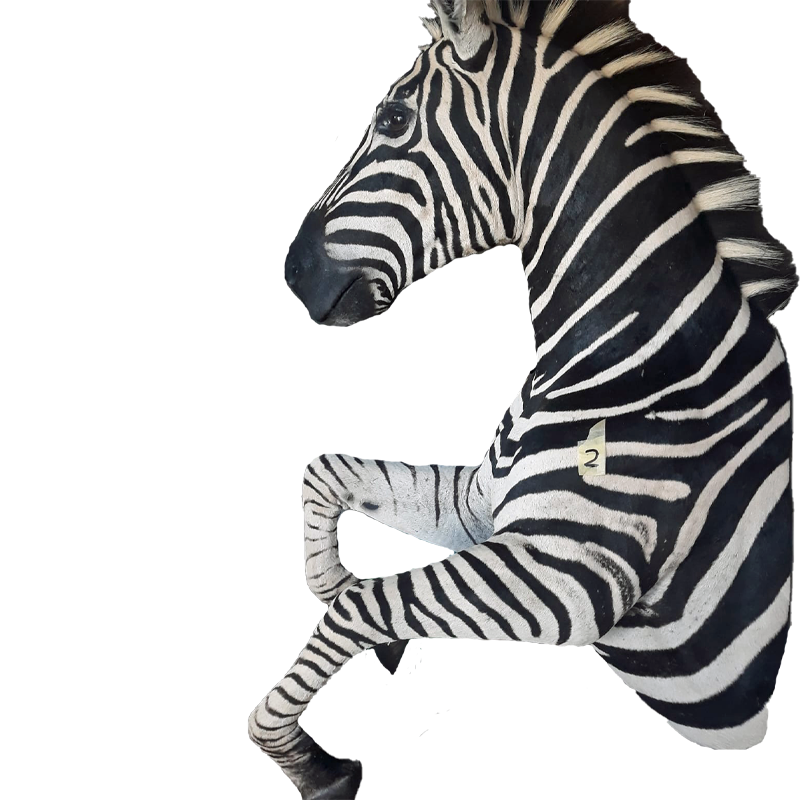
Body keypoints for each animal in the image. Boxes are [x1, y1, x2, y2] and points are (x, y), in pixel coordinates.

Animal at [250, 1, 797, 796]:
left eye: (392, 120)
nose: (290, 270)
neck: (643, 356)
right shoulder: (483, 508)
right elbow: (331, 473)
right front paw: (331, 582)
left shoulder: (566, 576)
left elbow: (367, 605)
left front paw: (300, 755)